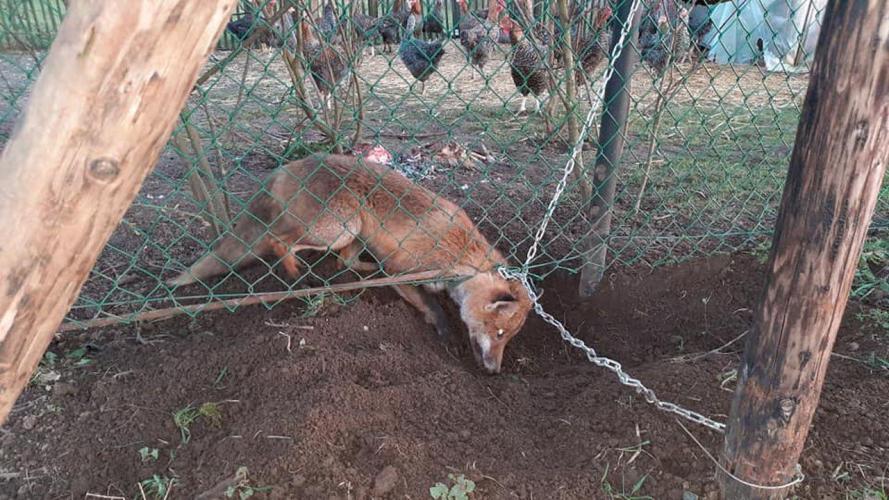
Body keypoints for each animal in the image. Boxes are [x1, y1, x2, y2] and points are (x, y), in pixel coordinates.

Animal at [169, 154, 532, 374]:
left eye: (507, 338)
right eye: (498, 333)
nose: (494, 370)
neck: (459, 256)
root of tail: (290, 165)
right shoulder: (402, 274)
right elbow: (433, 306)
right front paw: (446, 332)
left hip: (355, 232)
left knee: (347, 261)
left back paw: (362, 273)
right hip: (339, 228)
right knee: (278, 240)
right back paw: (297, 277)